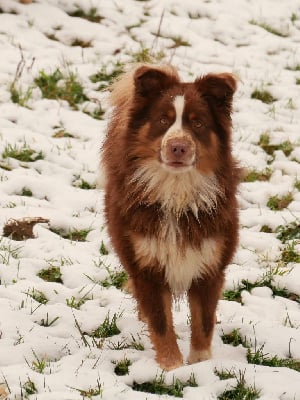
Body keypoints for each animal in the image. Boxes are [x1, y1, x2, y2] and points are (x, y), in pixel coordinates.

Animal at [102, 64, 240, 370]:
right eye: (163, 120)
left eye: (198, 123)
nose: (178, 146)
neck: (176, 193)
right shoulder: (147, 265)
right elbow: (161, 322)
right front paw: (172, 368)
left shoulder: (210, 261)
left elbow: (204, 321)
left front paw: (201, 365)